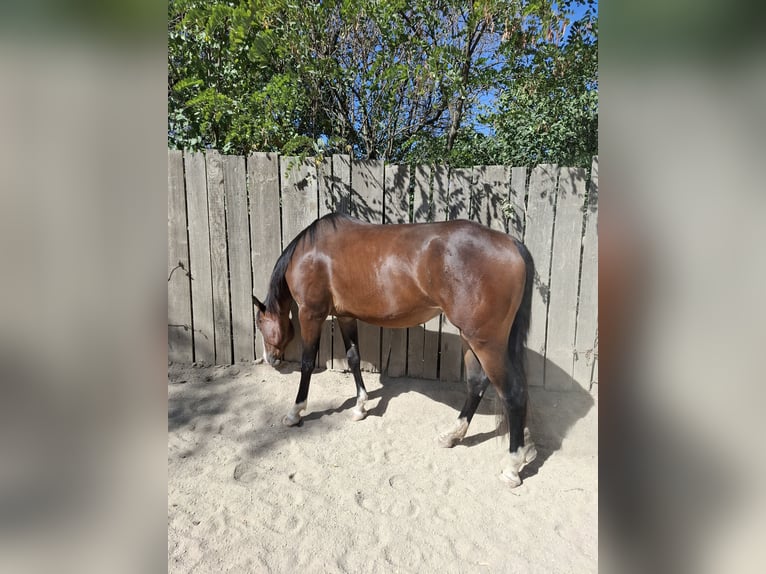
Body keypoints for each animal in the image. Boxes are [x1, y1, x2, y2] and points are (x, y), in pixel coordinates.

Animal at [253, 212, 537, 486]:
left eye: (260, 324)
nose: (270, 359)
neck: (310, 252)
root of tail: (511, 243)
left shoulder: (311, 314)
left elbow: (308, 363)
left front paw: (295, 412)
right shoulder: (345, 316)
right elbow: (353, 358)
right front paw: (360, 406)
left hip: (486, 343)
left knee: (513, 393)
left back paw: (512, 466)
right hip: (470, 339)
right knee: (477, 383)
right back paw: (452, 435)